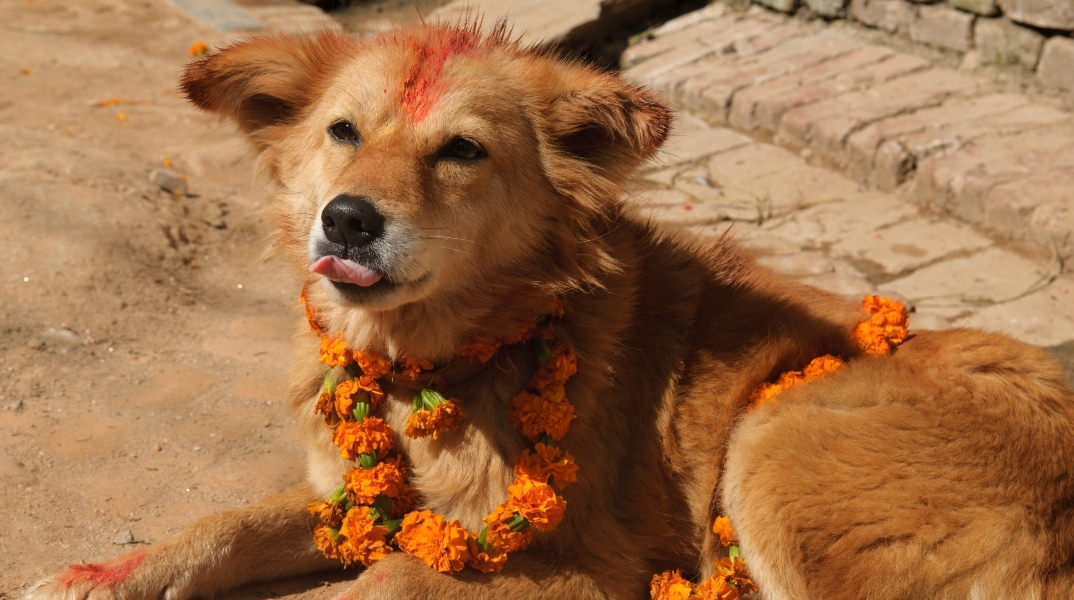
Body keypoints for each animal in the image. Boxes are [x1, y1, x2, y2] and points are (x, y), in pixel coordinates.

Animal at [23, 21, 1074, 596]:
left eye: (462, 151)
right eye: (343, 132)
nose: (348, 220)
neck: (430, 367)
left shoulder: (578, 564)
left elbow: (387, 575)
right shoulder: (347, 493)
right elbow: (229, 521)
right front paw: (104, 576)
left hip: (773, 445)